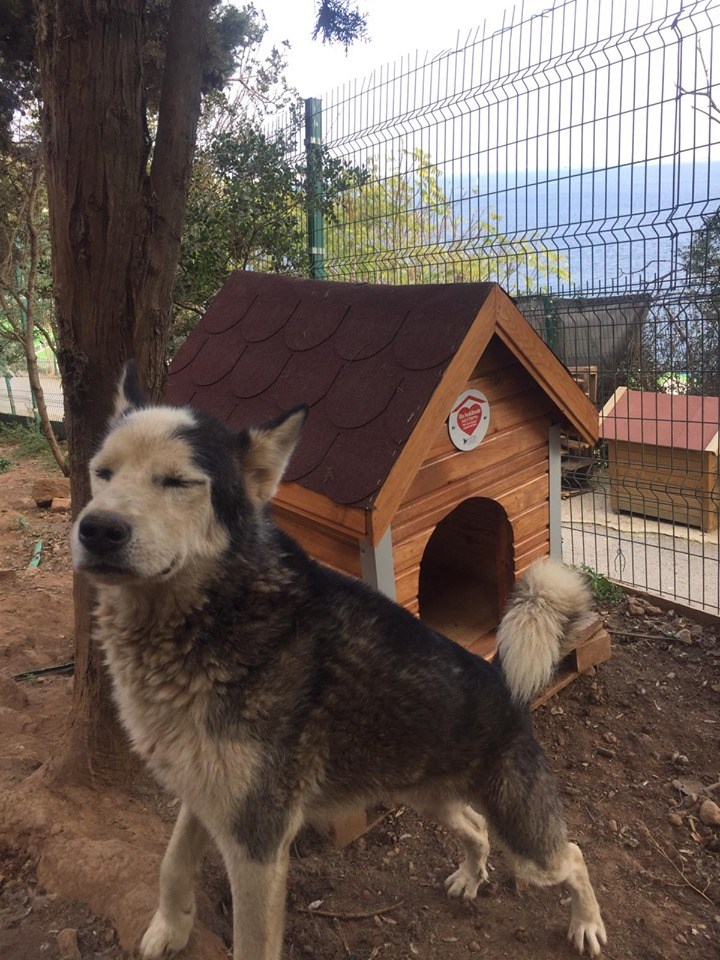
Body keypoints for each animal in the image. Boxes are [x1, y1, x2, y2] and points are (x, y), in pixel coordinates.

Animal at [70, 362, 604, 960]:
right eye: (102, 473)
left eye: (178, 483)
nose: (97, 529)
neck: (217, 614)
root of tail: (500, 678)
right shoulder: (205, 798)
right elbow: (171, 864)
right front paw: (169, 928)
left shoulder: (257, 840)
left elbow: (251, 941)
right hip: (431, 798)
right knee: (475, 826)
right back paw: (471, 875)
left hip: (528, 844)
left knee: (574, 856)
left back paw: (587, 924)